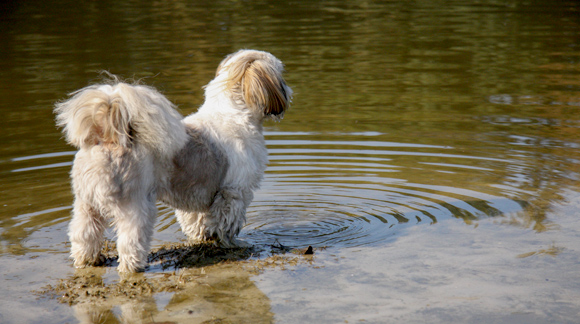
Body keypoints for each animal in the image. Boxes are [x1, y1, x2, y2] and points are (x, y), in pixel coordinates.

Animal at [54, 49, 292, 272]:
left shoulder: (195, 195)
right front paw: (233, 243)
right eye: (281, 74)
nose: (288, 91)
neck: (232, 113)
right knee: (130, 242)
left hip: (86, 204)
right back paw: (134, 267)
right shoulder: (234, 193)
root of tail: (109, 137)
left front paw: (201, 238)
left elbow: (196, 222)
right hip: (135, 207)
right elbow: (227, 224)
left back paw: (88, 261)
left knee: (84, 235)